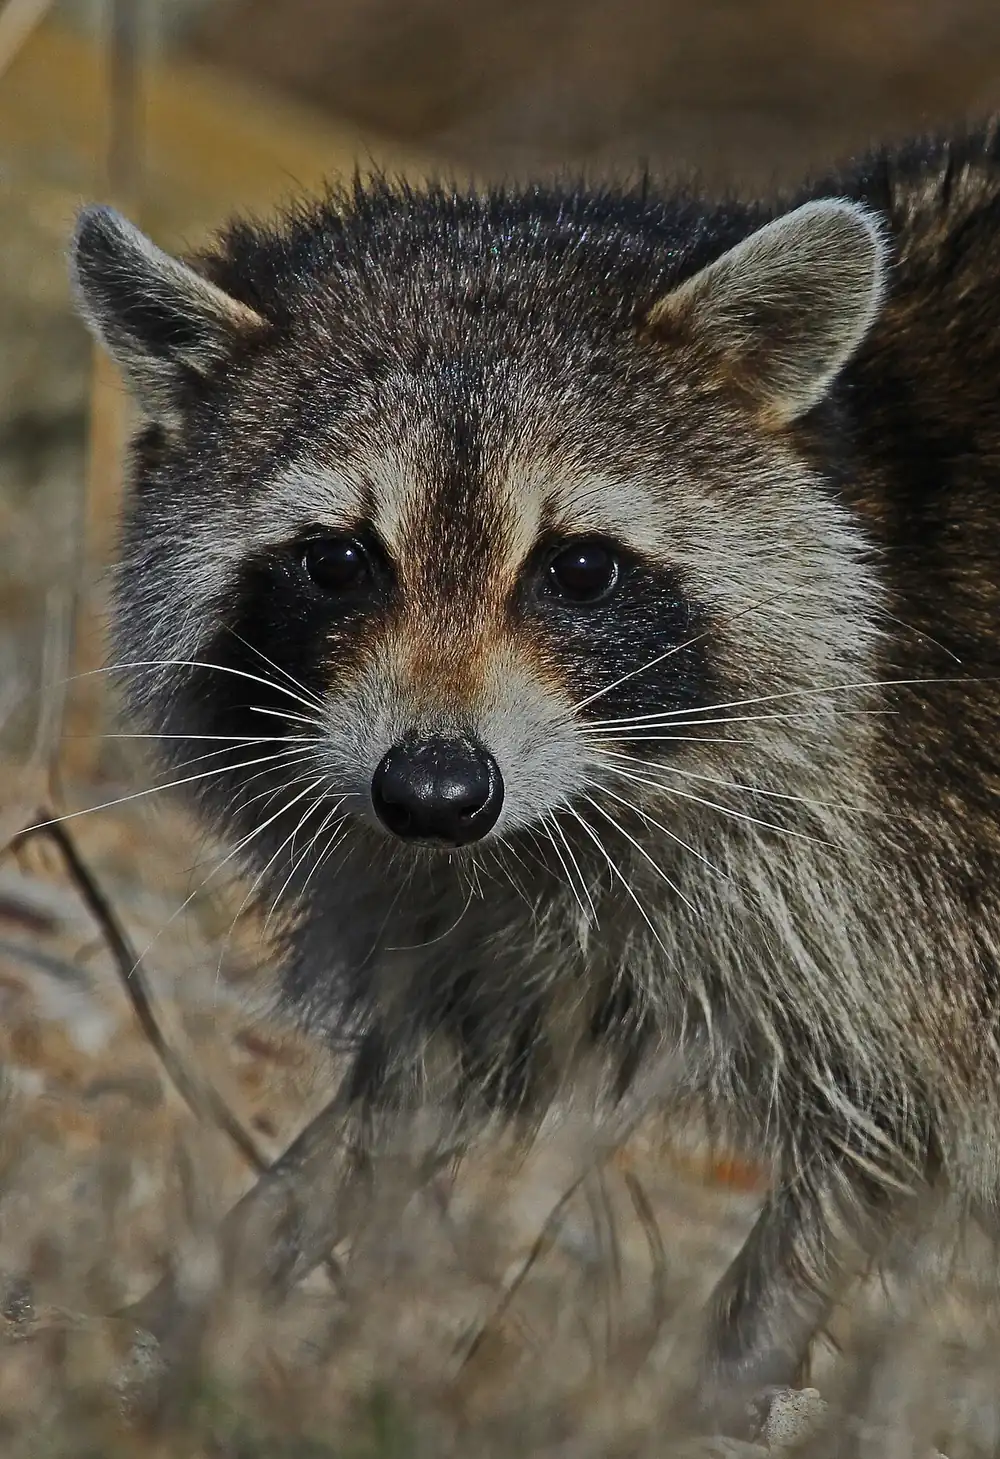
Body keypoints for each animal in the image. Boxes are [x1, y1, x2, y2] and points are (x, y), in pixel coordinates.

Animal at [69, 127, 1000, 1418]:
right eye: (335, 561)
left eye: (580, 570)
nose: (434, 793)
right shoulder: (494, 908)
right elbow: (424, 1080)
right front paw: (214, 1287)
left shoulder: (925, 855)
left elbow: (886, 1134)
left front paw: (722, 1374)